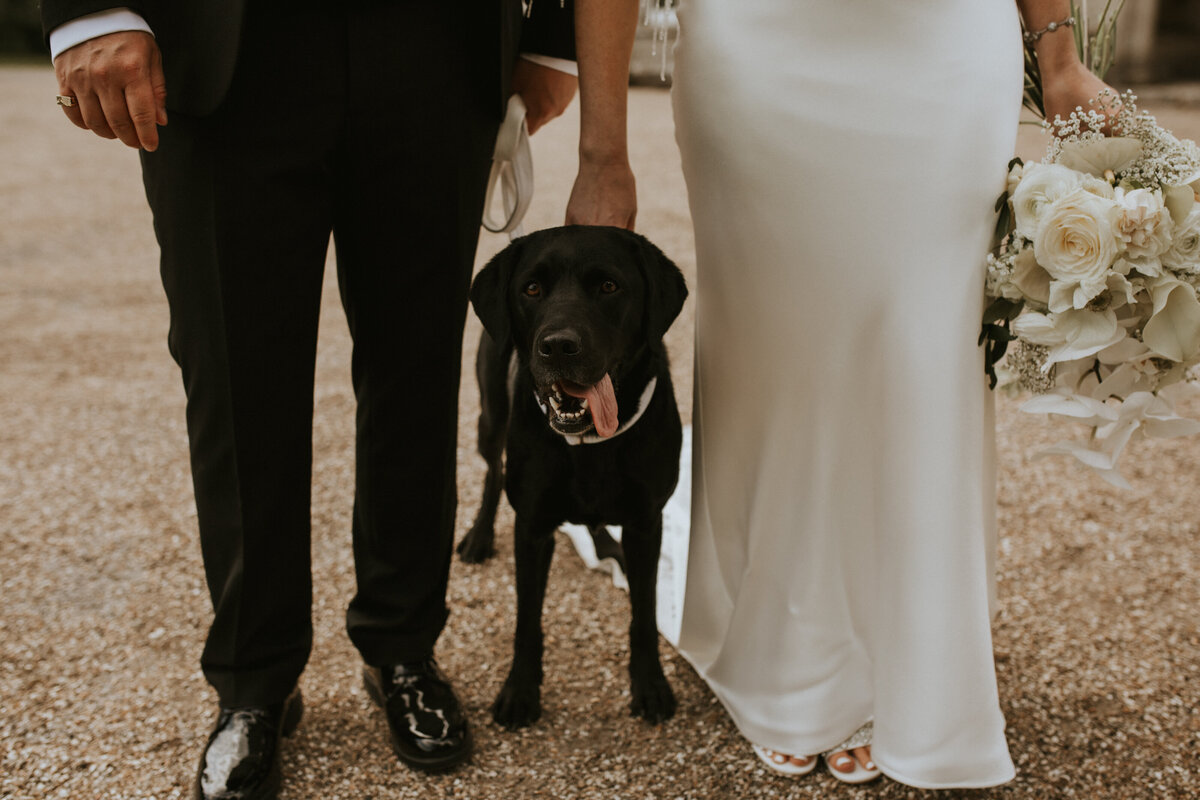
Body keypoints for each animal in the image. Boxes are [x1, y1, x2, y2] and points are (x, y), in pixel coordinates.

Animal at [458, 221, 686, 729]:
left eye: (609, 286)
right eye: (531, 289)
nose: (558, 346)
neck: (589, 444)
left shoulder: (647, 522)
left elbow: (644, 614)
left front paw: (650, 685)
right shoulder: (532, 527)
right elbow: (527, 619)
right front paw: (520, 692)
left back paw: (605, 546)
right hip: (490, 418)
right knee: (491, 474)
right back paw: (479, 537)